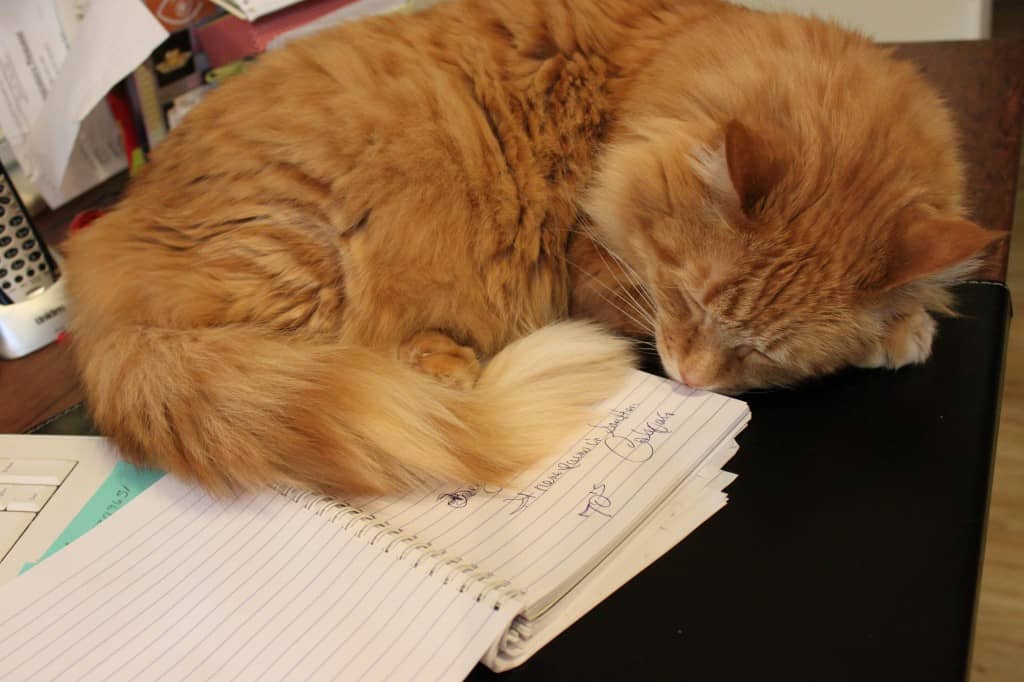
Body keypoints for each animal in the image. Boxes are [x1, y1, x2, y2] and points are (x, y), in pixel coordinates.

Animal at [66, 0, 1007, 493]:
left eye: (765, 355)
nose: (690, 380)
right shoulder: (595, 274)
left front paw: (907, 324)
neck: (658, 68)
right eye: (686, 300)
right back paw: (441, 367)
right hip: (304, 267)